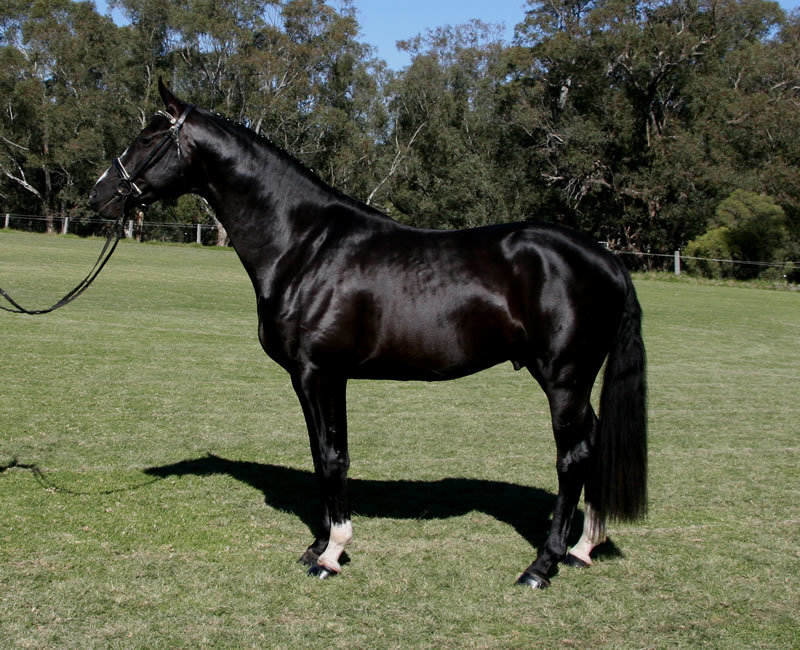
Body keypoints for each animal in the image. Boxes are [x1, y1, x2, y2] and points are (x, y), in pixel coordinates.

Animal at [89, 79, 647, 589]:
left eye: (147, 137)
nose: (98, 194)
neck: (304, 245)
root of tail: (607, 260)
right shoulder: (311, 379)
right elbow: (320, 454)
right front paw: (317, 544)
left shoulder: (320, 374)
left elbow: (334, 457)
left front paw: (332, 553)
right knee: (592, 444)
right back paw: (582, 547)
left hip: (563, 379)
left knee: (572, 457)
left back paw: (542, 565)